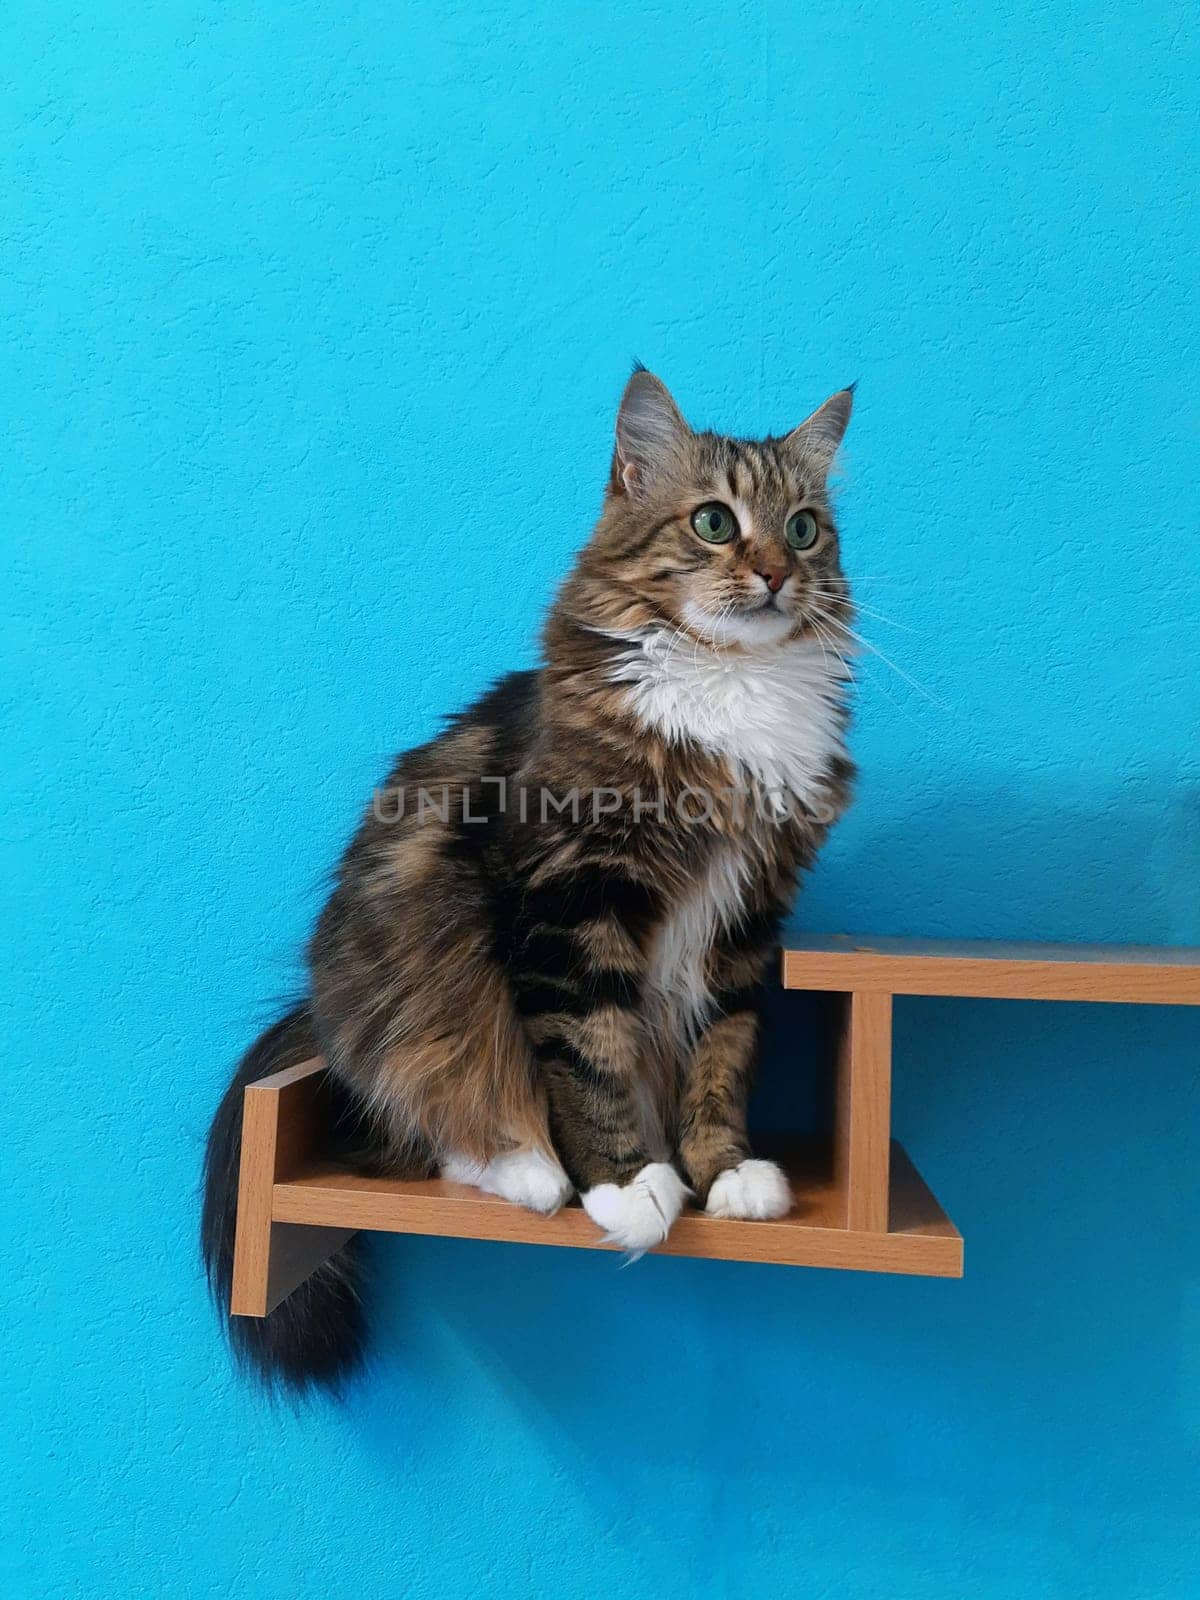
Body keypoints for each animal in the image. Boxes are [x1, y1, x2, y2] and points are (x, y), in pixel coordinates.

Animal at [204, 371, 857, 1388]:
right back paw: (533, 1171)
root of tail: (320, 1009)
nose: (777, 574)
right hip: (427, 970)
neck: (730, 689)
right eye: (715, 522)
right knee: (428, 1111)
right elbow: (588, 1055)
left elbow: (722, 1058)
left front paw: (724, 1173)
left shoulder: (747, 924)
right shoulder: (568, 899)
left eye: (803, 528)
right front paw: (627, 1185)